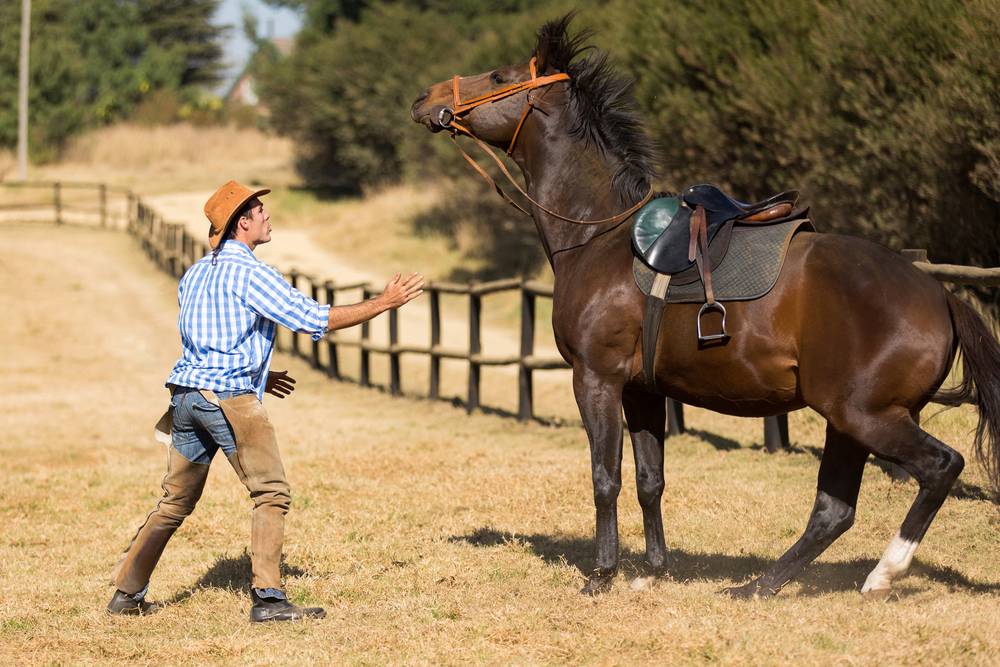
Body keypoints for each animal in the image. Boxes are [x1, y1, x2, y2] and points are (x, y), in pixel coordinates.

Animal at [408, 15, 1000, 596]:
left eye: (497, 76)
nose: (423, 98)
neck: (600, 235)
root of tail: (939, 293)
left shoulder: (597, 379)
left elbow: (605, 478)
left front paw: (602, 573)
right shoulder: (643, 391)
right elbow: (650, 480)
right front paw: (654, 569)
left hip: (865, 416)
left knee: (939, 467)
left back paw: (881, 574)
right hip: (847, 423)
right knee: (834, 511)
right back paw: (759, 586)